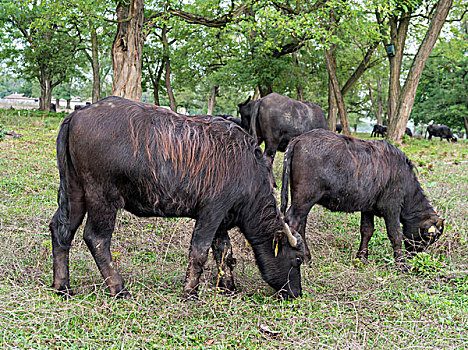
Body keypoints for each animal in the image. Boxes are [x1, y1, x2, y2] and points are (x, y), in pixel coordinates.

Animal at [49, 95, 306, 298]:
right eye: (298, 260)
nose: (296, 293)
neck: (247, 169)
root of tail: (79, 113)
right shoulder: (211, 213)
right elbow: (200, 252)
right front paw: (190, 291)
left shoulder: (221, 222)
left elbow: (224, 253)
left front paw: (228, 286)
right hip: (102, 197)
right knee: (97, 238)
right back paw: (118, 288)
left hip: (75, 192)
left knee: (61, 230)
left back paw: (63, 286)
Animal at [280, 129, 444, 268]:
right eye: (429, 238)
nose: (415, 255)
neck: (404, 180)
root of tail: (299, 139)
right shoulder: (392, 209)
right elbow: (395, 234)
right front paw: (401, 264)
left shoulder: (367, 209)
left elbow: (367, 231)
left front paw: (361, 258)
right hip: (305, 198)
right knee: (292, 222)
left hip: (301, 200)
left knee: (301, 224)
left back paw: (308, 258)